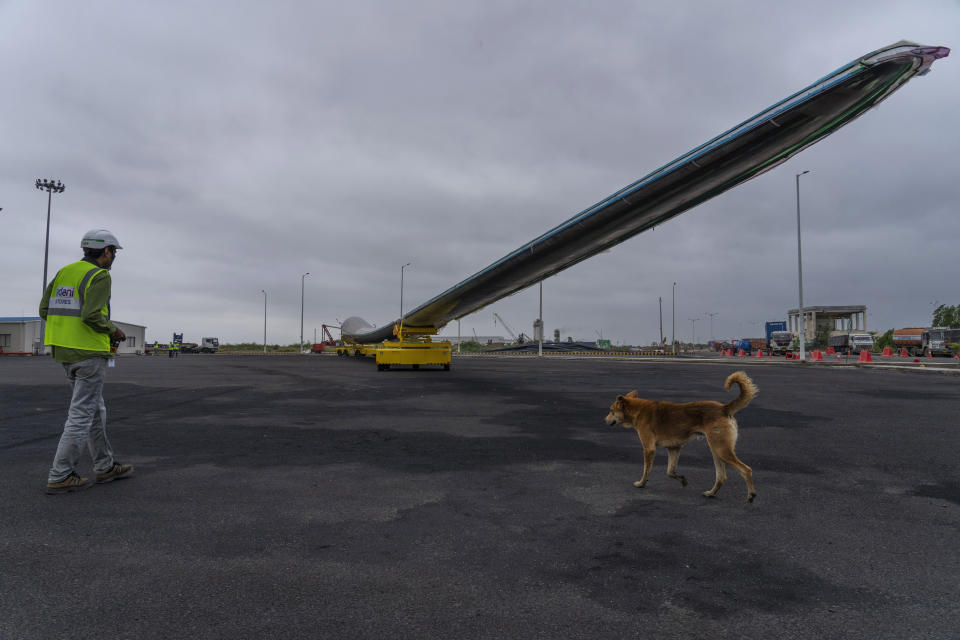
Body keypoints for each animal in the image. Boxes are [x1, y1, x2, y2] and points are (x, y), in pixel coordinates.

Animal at [608, 372, 756, 502]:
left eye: (611, 411)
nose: (605, 420)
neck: (639, 410)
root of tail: (724, 408)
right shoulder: (674, 448)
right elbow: (670, 471)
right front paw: (682, 480)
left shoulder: (649, 449)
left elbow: (646, 470)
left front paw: (641, 483)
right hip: (716, 450)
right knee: (721, 477)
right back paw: (711, 493)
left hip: (721, 450)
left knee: (746, 470)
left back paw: (751, 495)